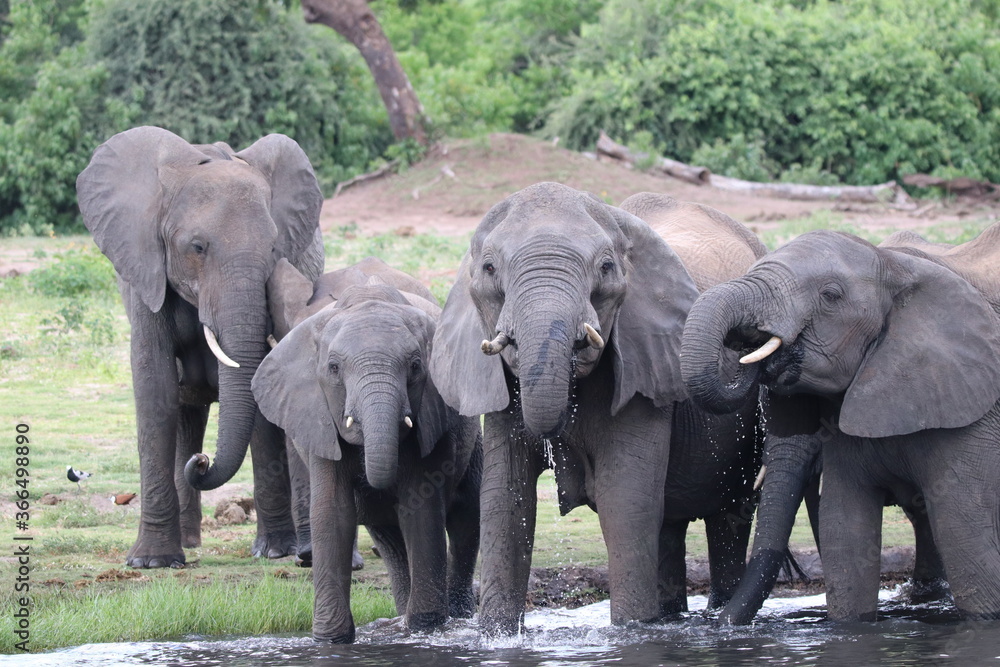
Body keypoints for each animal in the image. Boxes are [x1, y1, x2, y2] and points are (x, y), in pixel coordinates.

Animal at [76, 126, 322, 568]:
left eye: (274, 249)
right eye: (197, 247)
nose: (204, 462)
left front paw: (275, 551)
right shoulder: (145, 273)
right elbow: (155, 389)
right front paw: (151, 562)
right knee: (185, 412)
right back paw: (188, 543)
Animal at [254, 258, 480, 644]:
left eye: (416, 366)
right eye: (333, 368)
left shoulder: (432, 414)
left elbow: (419, 505)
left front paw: (426, 628)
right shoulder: (317, 415)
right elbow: (333, 512)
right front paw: (331, 640)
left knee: (466, 518)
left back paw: (456, 616)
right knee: (391, 541)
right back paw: (403, 617)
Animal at [428, 184, 764, 636]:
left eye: (605, 267)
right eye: (489, 268)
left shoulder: (643, 371)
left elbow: (624, 500)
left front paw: (630, 633)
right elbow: (506, 503)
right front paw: (498, 637)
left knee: (729, 518)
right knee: (670, 525)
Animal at [684, 231, 1000, 628]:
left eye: (830, 295)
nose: (748, 345)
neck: (894, 265)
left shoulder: (969, 406)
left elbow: (966, 536)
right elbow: (844, 532)